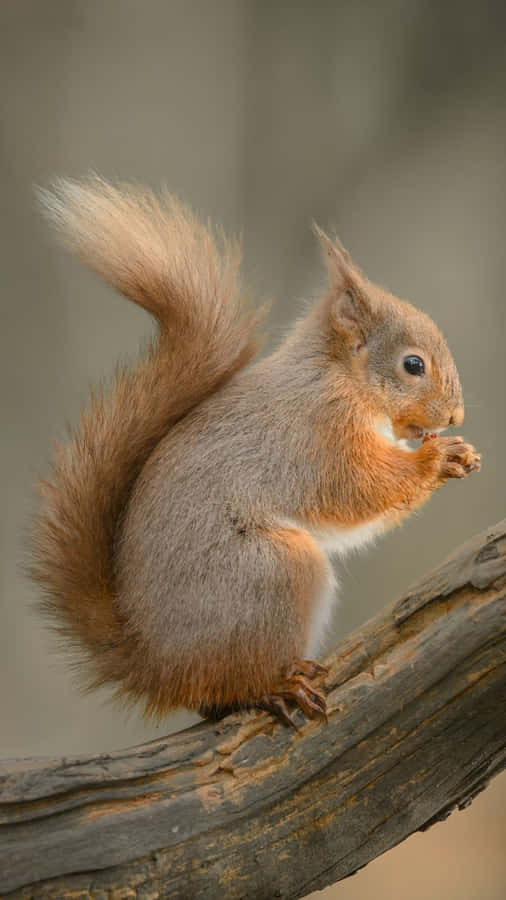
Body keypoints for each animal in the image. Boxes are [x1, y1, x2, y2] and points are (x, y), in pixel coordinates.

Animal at [31, 175, 481, 728]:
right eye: (413, 365)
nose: (455, 416)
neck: (337, 374)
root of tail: (155, 667)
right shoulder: (320, 434)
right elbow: (359, 489)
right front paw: (436, 460)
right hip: (273, 572)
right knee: (237, 680)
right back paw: (279, 683)